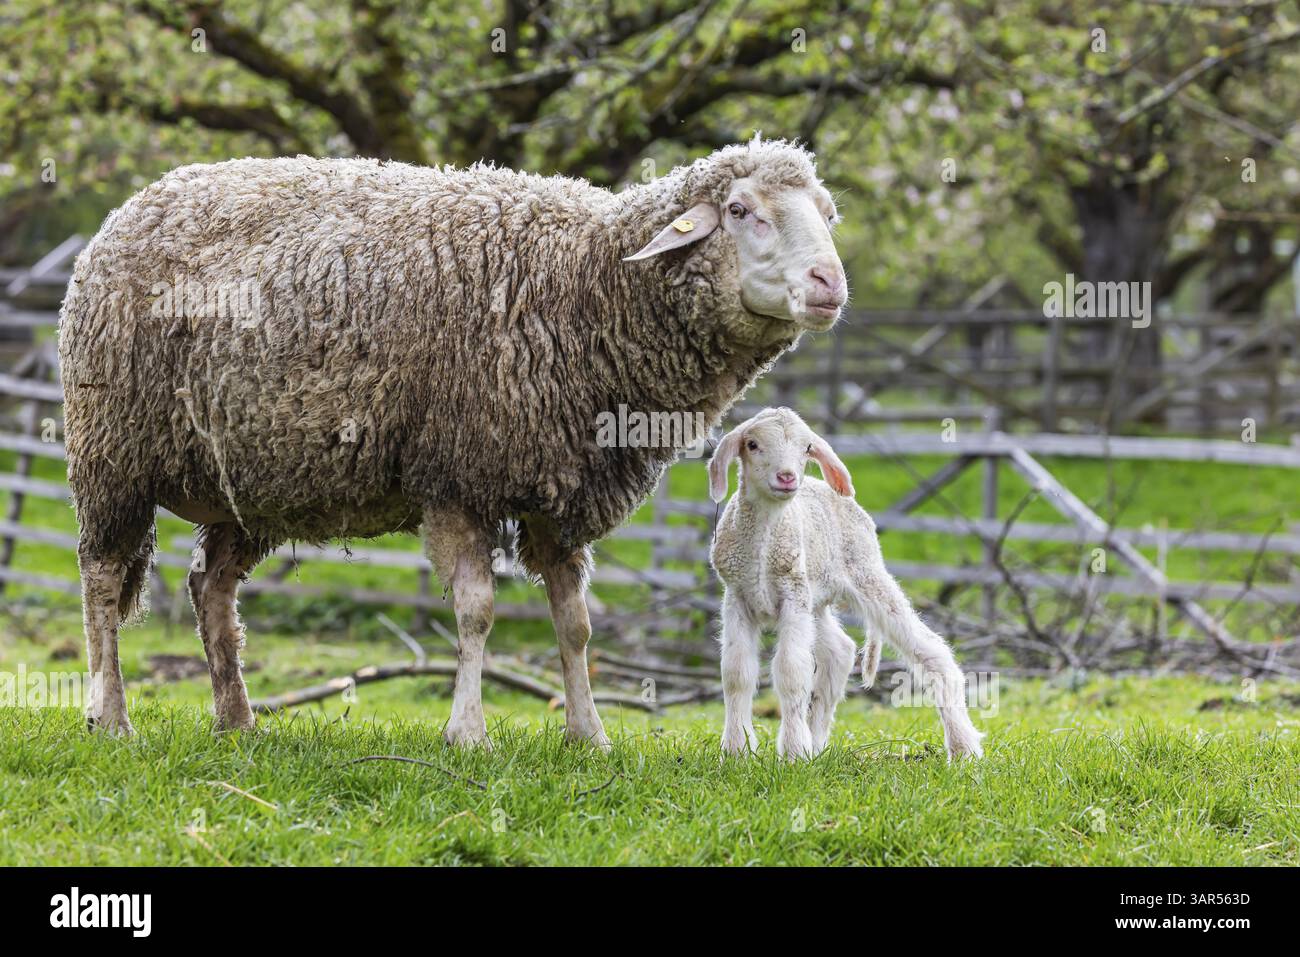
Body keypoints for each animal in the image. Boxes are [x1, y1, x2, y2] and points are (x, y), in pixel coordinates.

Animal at [59, 138, 848, 747]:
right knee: (100, 578)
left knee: (210, 587)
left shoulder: (556, 491)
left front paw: (588, 734)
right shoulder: (459, 477)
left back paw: (236, 719)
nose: (829, 282)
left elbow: (575, 624)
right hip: (112, 450)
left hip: (246, 481)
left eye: (827, 214)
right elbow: (477, 610)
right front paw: (468, 732)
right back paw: (111, 716)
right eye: (742, 211)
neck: (589, 281)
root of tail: (130, 207)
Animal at [708, 408, 984, 761]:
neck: (764, 544)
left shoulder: (792, 596)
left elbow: (791, 672)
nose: (786, 477)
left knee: (931, 650)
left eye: (807, 447)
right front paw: (736, 751)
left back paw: (964, 748)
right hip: (816, 600)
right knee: (840, 651)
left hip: (865, 573)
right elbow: (736, 674)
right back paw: (816, 744)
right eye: (752, 444)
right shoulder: (738, 596)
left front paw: (793, 753)